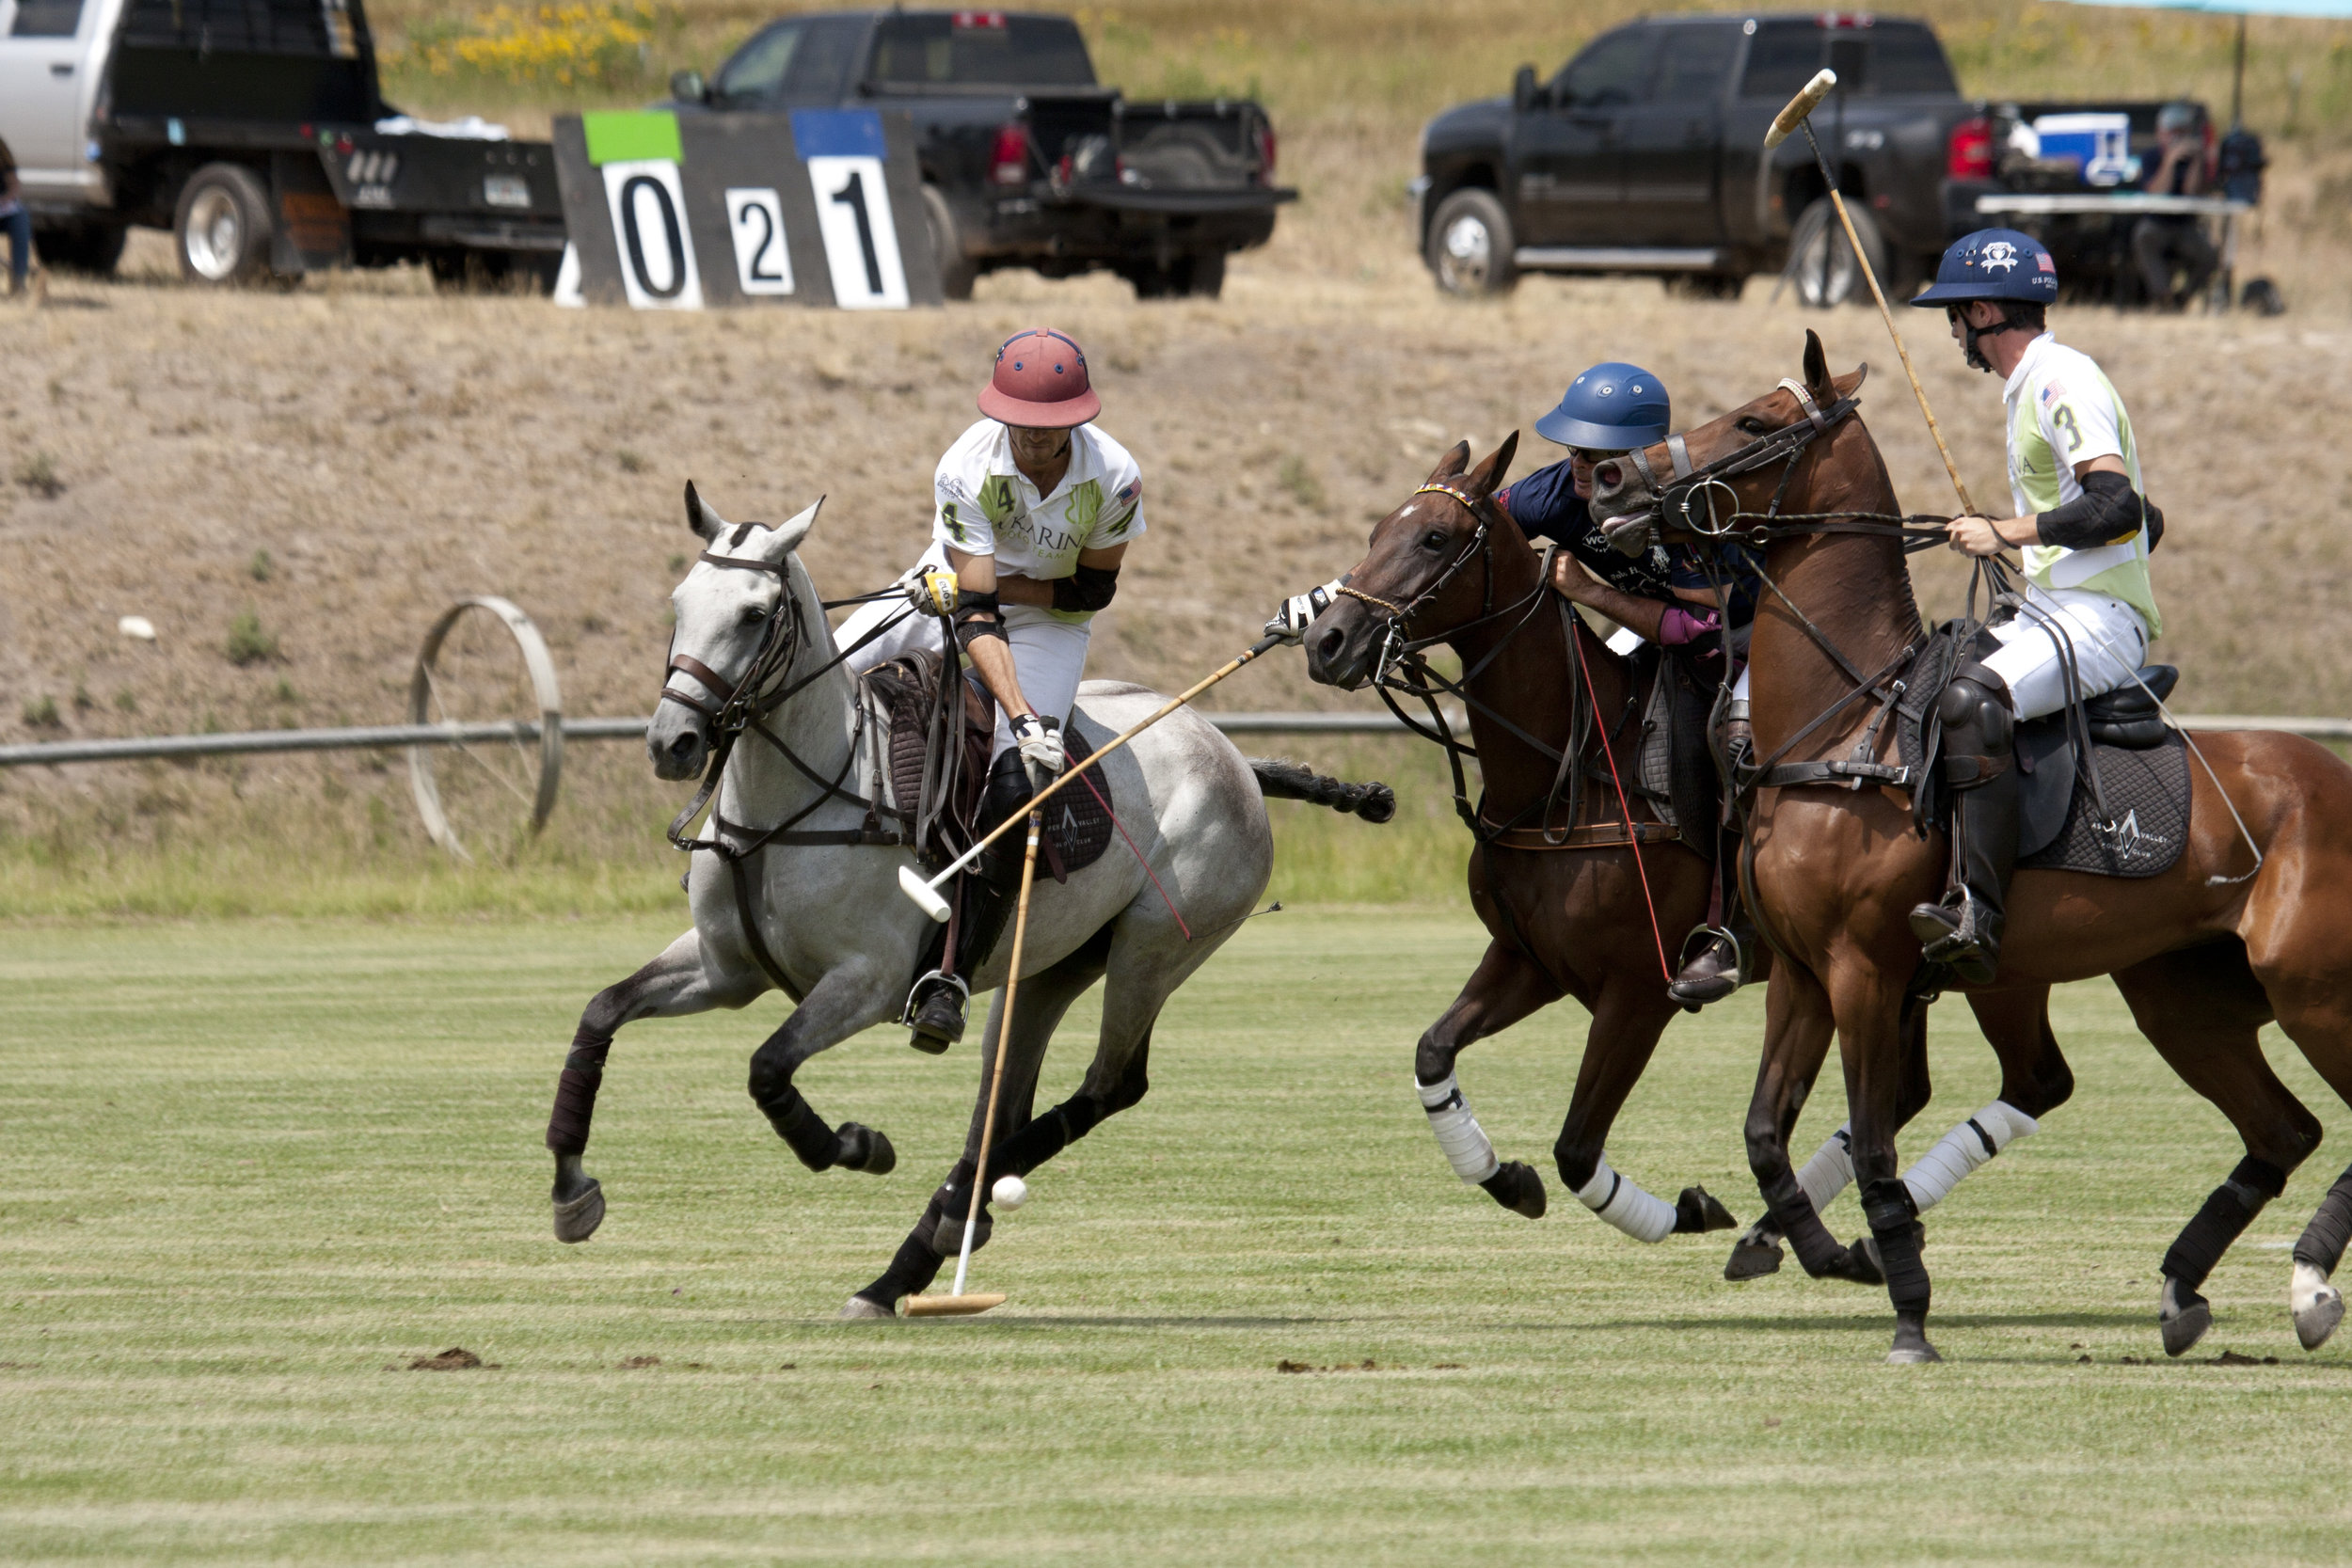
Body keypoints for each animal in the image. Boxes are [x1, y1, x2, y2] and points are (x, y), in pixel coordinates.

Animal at [1308, 435, 2079, 1269]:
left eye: (1434, 539)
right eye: (1376, 530)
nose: (1327, 640)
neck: (1568, 773)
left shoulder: (1638, 988)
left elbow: (1576, 1147)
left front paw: (1689, 1208)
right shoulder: (1528, 960)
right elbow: (1433, 1051)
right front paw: (1507, 1177)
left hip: (1977, 967)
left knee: (2032, 1080)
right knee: (1917, 1090)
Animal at [1590, 328, 2352, 1363]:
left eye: (1752, 420)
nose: (1610, 479)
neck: (1847, 725)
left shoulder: (1863, 969)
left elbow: (1872, 1140)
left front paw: (1907, 1307)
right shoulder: (1800, 972)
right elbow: (1763, 1133)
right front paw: (1830, 1252)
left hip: (2311, 987)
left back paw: (2306, 1284)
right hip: (2183, 998)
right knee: (2281, 1131)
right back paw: (2189, 1288)